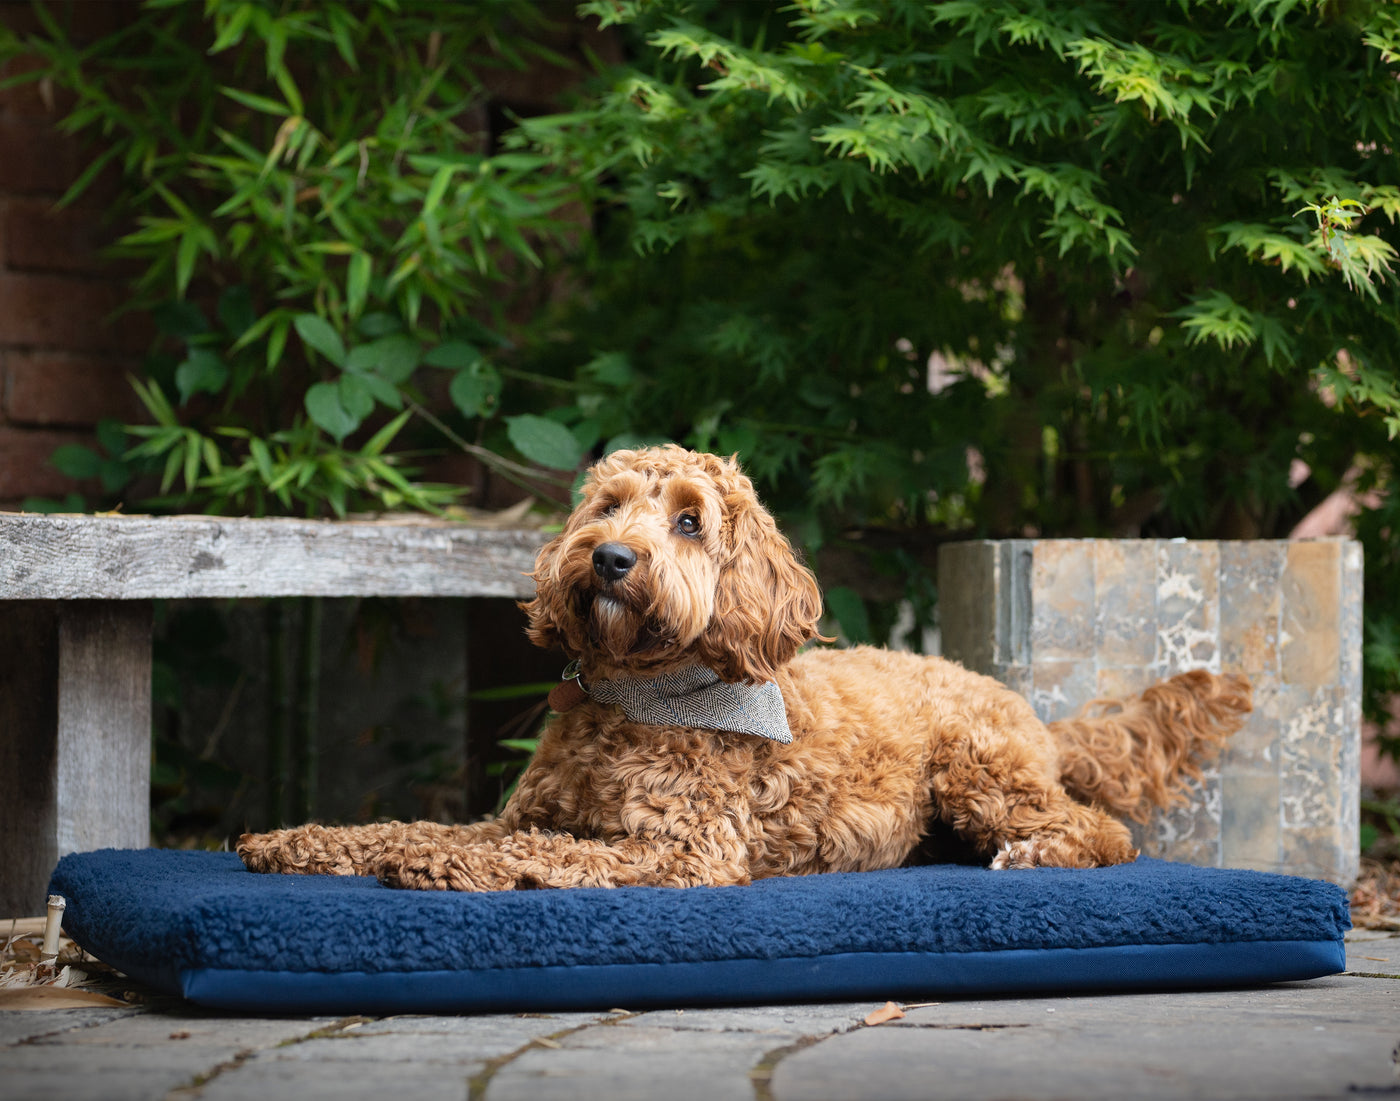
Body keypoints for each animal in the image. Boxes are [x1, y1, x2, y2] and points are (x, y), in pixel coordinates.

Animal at [235, 442, 1254, 885]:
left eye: (690, 520)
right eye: (607, 505)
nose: (611, 558)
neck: (642, 692)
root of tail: (1023, 707)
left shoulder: (686, 846)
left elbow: (545, 851)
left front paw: (426, 862)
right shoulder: (518, 812)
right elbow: (433, 826)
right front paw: (298, 840)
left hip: (979, 771)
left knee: (1101, 830)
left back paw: (1038, 850)